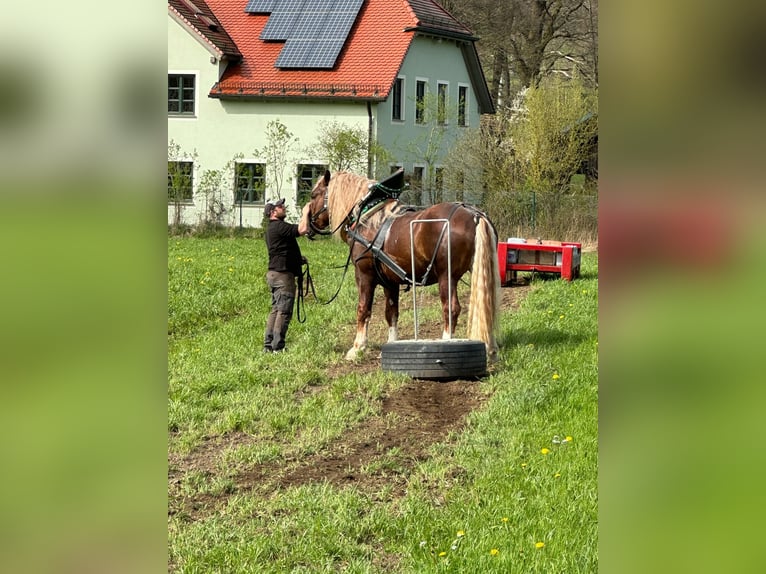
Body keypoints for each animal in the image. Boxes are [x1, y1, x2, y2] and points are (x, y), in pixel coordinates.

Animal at [308, 169, 504, 362]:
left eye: (313, 195)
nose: (308, 225)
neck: (369, 219)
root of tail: (475, 215)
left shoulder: (364, 276)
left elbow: (363, 309)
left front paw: (357, 348)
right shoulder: (390, 282)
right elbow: (391, 313)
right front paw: (390, 344)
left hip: (447, 277)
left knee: (451, 309)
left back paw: (446, 342)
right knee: (487, 306)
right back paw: (490, 349)